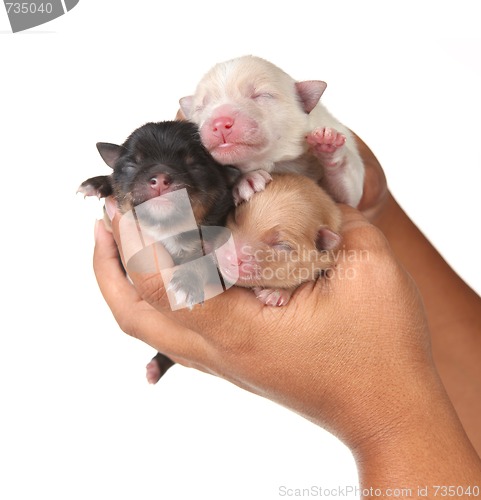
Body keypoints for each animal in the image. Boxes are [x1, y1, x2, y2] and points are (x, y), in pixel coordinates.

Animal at [78, 120, 236, 382]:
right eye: (132, 164)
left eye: (194, 164)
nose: (160, 178)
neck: (168, 229)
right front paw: (99, 182)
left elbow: (202, 260)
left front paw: (186, 283)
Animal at [180, 56, 364, 207]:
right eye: (200, 107)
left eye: (262, 95)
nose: (219, 123)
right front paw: (248, 179)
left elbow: (345, 198)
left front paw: (329, 145)